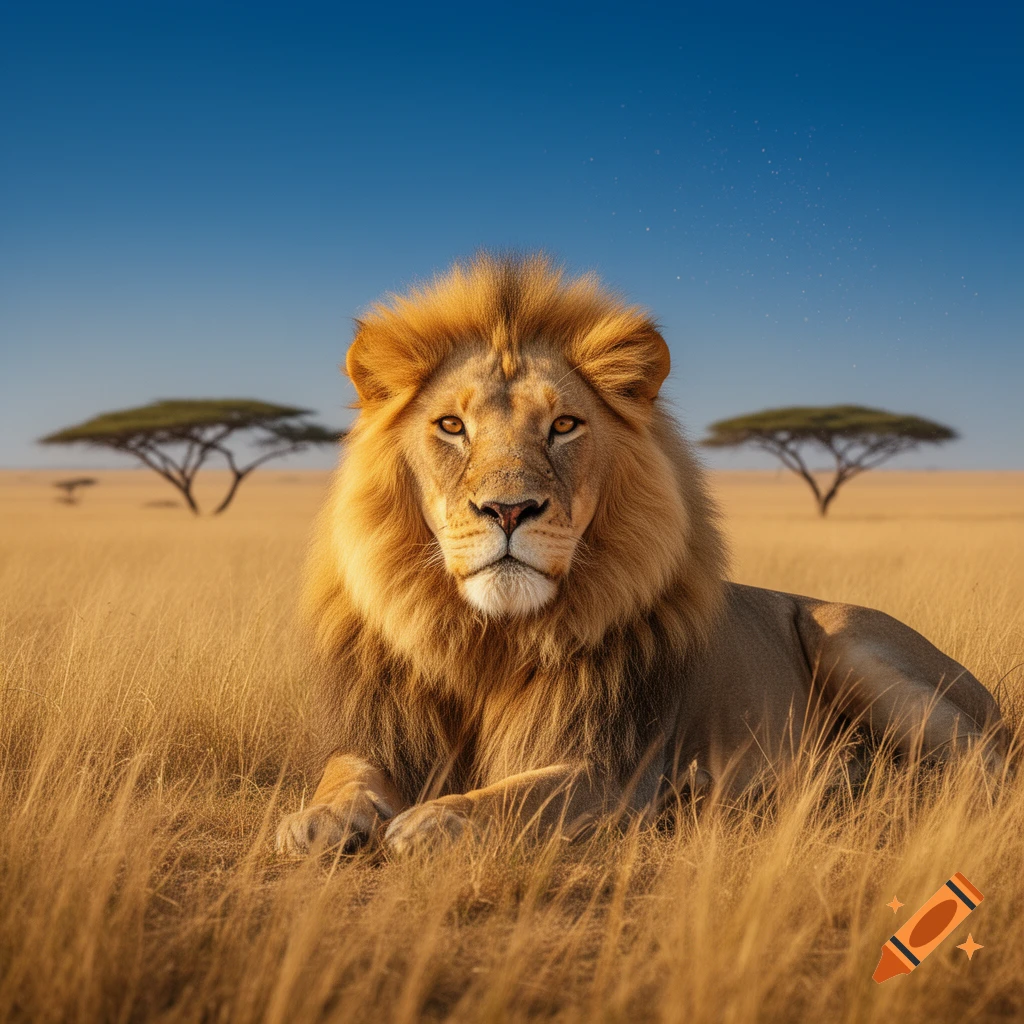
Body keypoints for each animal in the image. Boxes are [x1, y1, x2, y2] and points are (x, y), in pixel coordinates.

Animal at [276, 253, 1007, 858]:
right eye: (452, 426)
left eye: (564, 425)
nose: (509, 511)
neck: (490, 641)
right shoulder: (384, 735)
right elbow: (345, 772)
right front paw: (316, 821)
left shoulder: (613, 769)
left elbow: (520, 796)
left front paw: (435, 819)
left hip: (848, 642)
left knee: (981, 773)